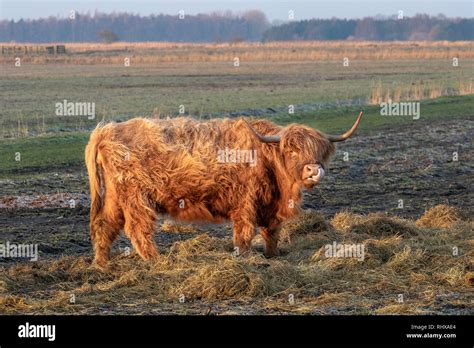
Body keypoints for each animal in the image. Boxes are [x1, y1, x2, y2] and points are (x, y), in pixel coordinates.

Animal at [85, 113, 362, 266]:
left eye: (319, 150)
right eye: (292, 150)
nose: (313, 170)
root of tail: (105, 131)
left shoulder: (269, 206)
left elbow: (272, 231)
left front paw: (273, 256)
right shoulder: (245, 202)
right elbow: (245, 233)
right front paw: (246, 258)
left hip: (114, 197)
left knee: (105, 224)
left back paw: (102, 264)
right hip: (135, 196)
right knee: (137, 228)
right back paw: (155, 260)